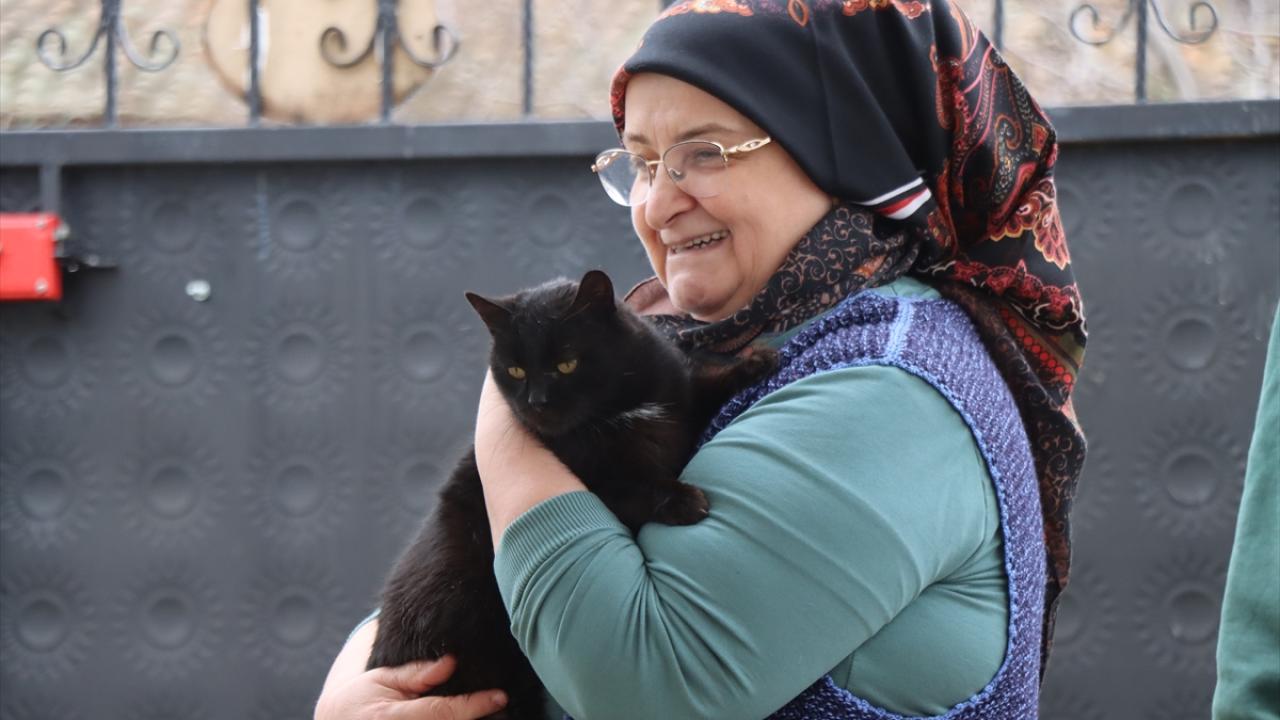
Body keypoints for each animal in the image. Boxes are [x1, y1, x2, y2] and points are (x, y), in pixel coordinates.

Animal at [366, 269, 777, 719]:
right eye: (515, 370)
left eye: (567, 363)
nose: (536, 402)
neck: (618, 409)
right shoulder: (598, 481)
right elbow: (633, 485)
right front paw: (684, 500)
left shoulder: (674, 400)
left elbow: (696, 388)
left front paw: (755, 362)